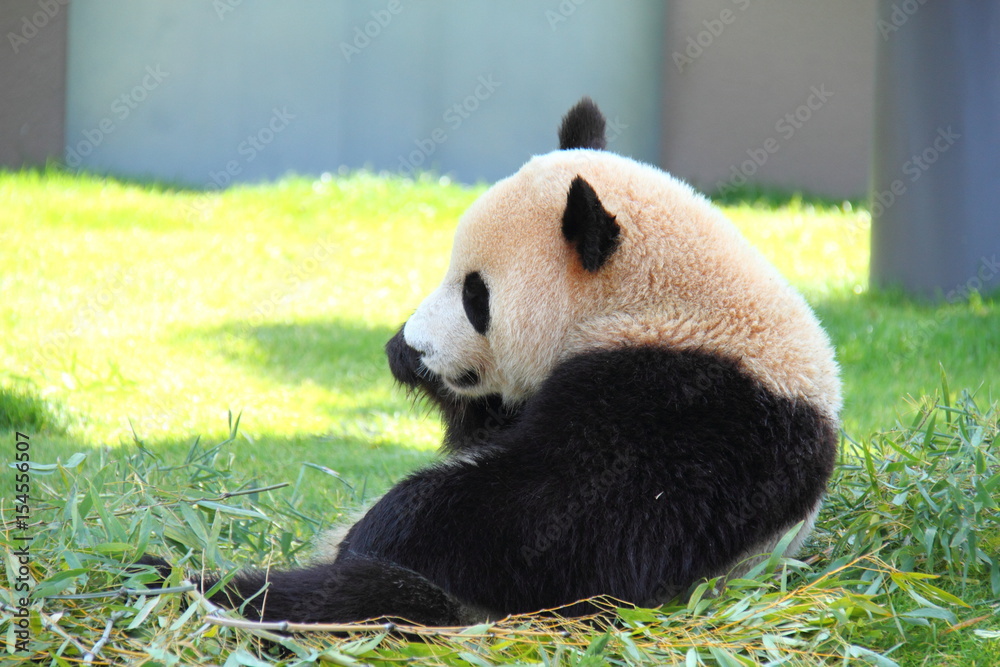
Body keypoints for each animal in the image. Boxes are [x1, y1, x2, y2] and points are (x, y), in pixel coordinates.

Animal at [141, 98, 841, 626]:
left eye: (476, 295)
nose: (408, 347)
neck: (658, 302)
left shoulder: (697, 410)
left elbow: (560, 524)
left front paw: (378, 533)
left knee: (367, 599)